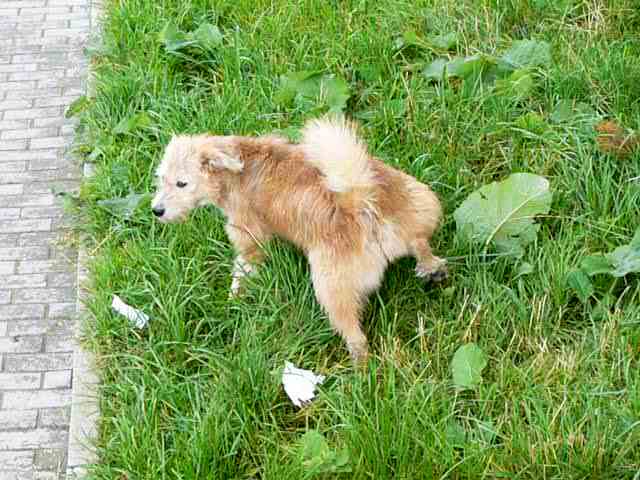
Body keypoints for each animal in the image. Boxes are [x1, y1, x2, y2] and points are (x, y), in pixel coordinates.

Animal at [151, 117, 447, 362]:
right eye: (161, 179)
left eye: (181, 183)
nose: (156, 210)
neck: (239, 166)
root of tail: (362, 203)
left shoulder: (248, 235)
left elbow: (242, 267)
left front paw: (234, 297)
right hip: (418, 205)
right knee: (421, 245)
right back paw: (432, 269)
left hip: (331, 288)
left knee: (356, 336)